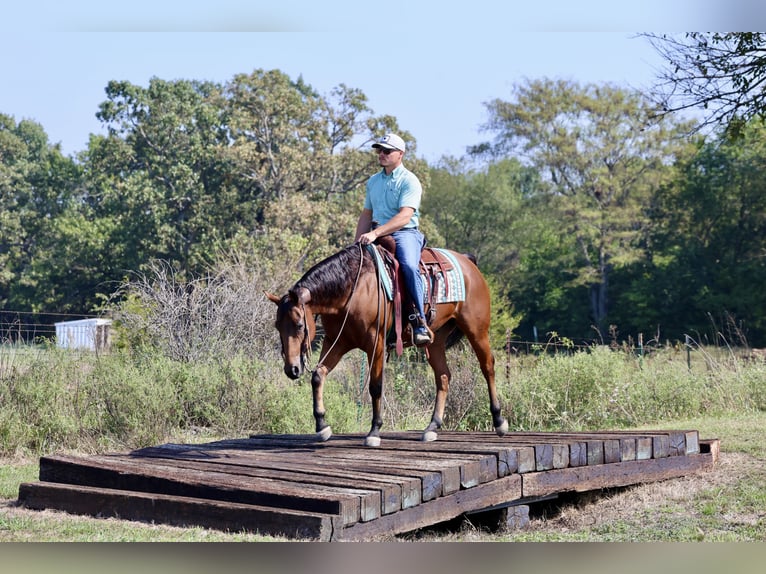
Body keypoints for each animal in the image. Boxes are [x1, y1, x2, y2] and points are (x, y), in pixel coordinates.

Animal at [266, 242, 508, 447]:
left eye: (299, 325)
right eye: (277, 325)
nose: (292, 369)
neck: (353, 290)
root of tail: (467, 261)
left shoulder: (376, 344)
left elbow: (375, 386)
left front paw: (374, 431)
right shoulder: (338, 341)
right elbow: (318, 375)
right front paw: (322, 425)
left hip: (476, 330)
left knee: (487, 366)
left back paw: (498, 421)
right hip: (435, 339)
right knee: (443, 376)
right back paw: (432, 427)